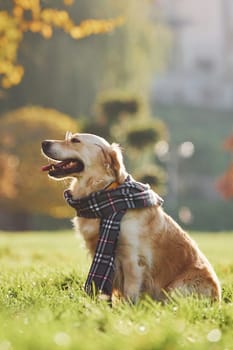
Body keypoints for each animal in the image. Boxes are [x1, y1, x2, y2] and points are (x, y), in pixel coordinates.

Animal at [41, 133, 221, 302]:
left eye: (75, 141)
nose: (44, 143)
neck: (104, 196)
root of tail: (218, 300)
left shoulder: (132, 259)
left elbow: (130, 293)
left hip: (177, 287)